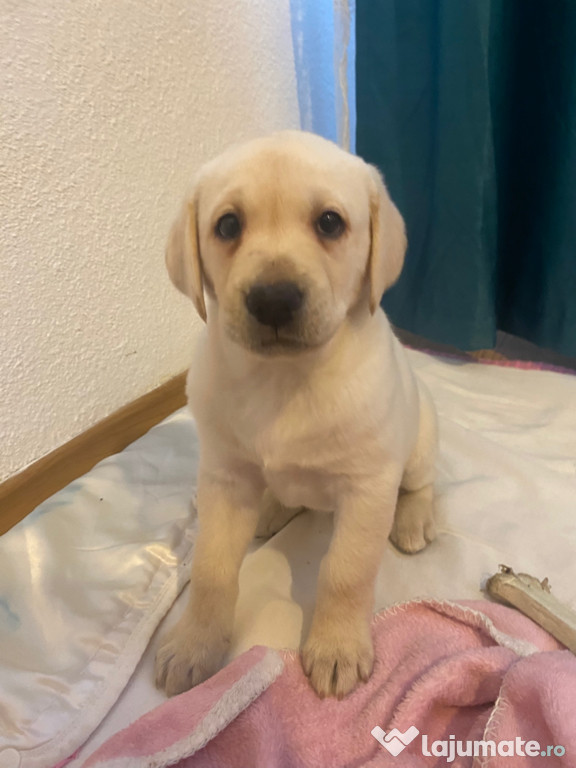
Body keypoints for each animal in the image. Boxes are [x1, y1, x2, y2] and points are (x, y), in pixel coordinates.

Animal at [154, 134, 436, 704]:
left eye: (330, 222)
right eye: (228, 226)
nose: (273, 299)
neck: (283, 379)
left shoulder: (367, 487)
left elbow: (346, 572)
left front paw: (337, 648)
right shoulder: (223, 478)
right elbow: (211, 570)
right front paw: (194, 644)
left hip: (419, 446)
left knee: (421, 484)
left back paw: (413, 519)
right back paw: (272, 508)